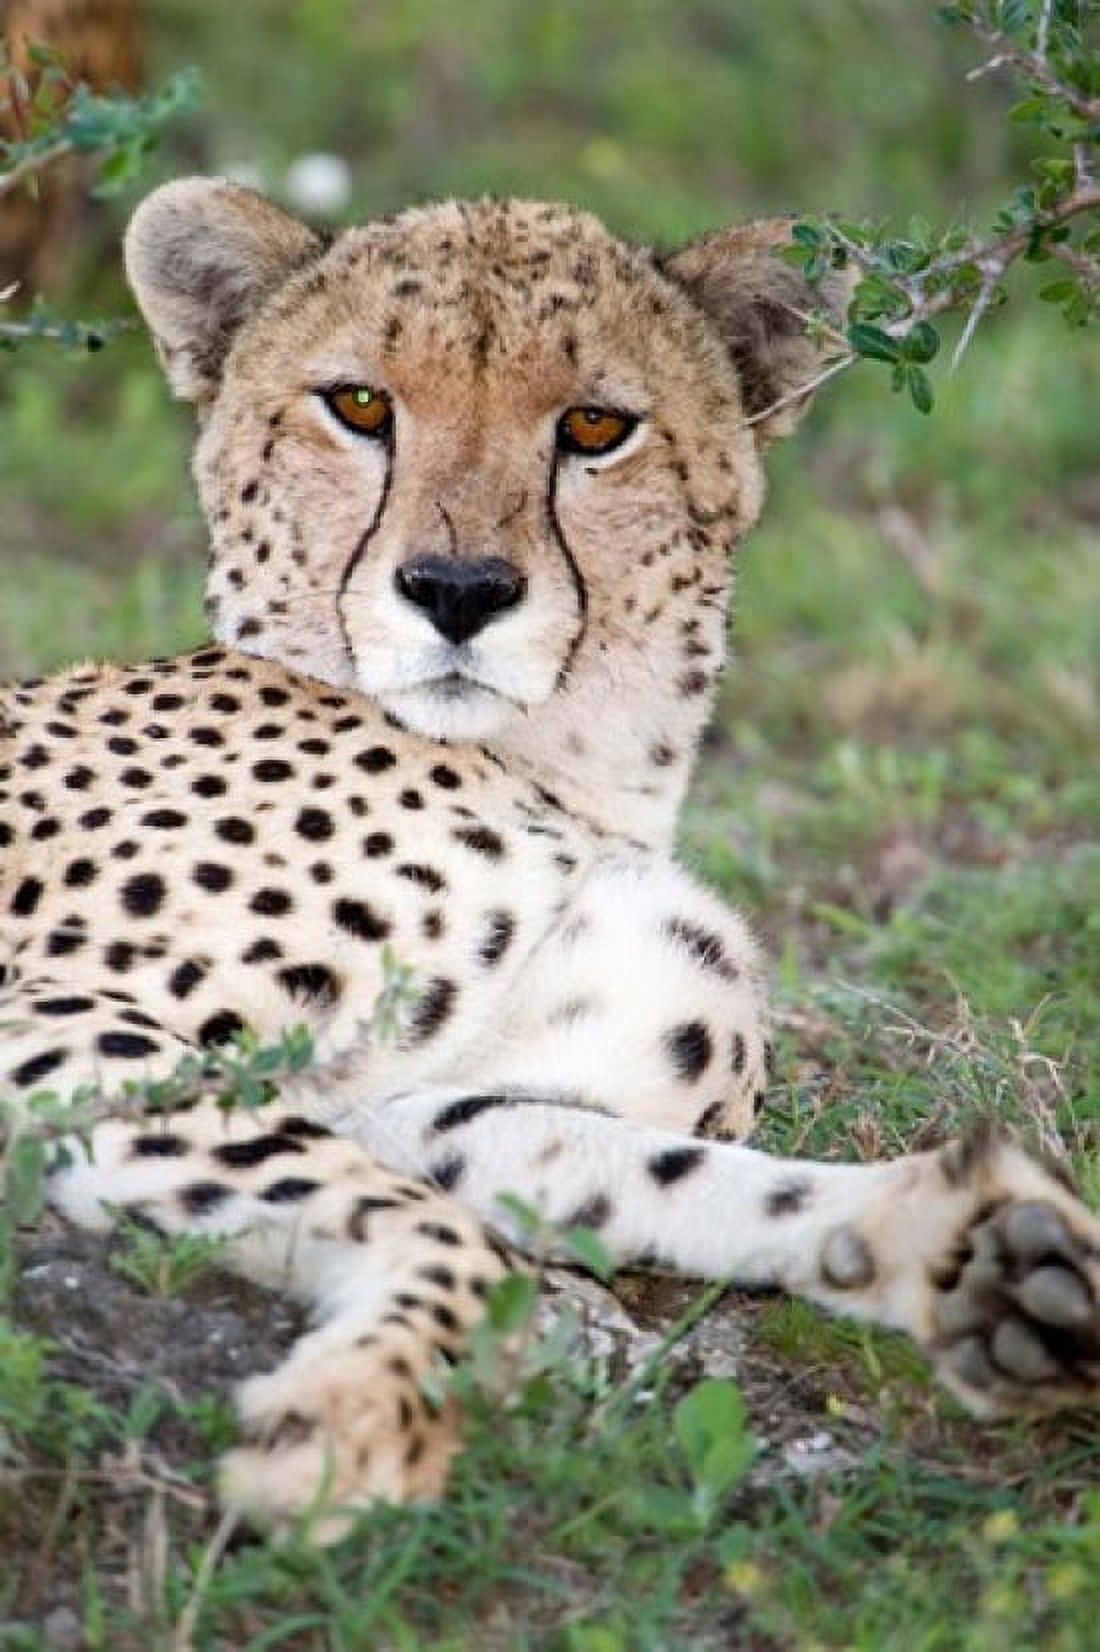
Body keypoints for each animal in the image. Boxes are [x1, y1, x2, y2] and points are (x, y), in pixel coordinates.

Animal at [1, 177, 1097, 1538]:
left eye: (592, 426)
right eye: (359, 405)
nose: (457, 588)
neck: (570, 768)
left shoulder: (415, 1097)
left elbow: (662, 1172)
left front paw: (974, 1252)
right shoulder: (53, 1013)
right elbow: (445, 1232)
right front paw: (355, 1419)